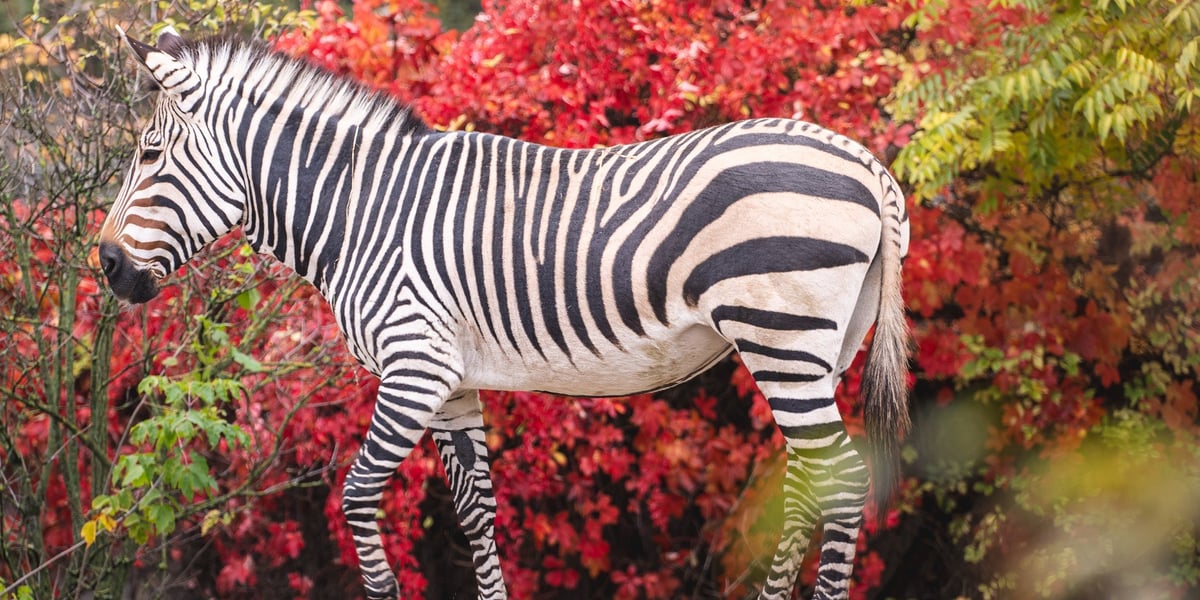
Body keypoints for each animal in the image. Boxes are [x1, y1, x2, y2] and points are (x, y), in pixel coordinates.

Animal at [98, 28, 909, 600]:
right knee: (808, 483)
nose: (104, 265)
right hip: (821, 350)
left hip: (782, 338)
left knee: (841, 480)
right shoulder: (452, 383)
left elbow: (357, 497)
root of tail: (866, 162)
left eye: (149, 154)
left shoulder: (413, 366)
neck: (361, 210)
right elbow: (478, 514)